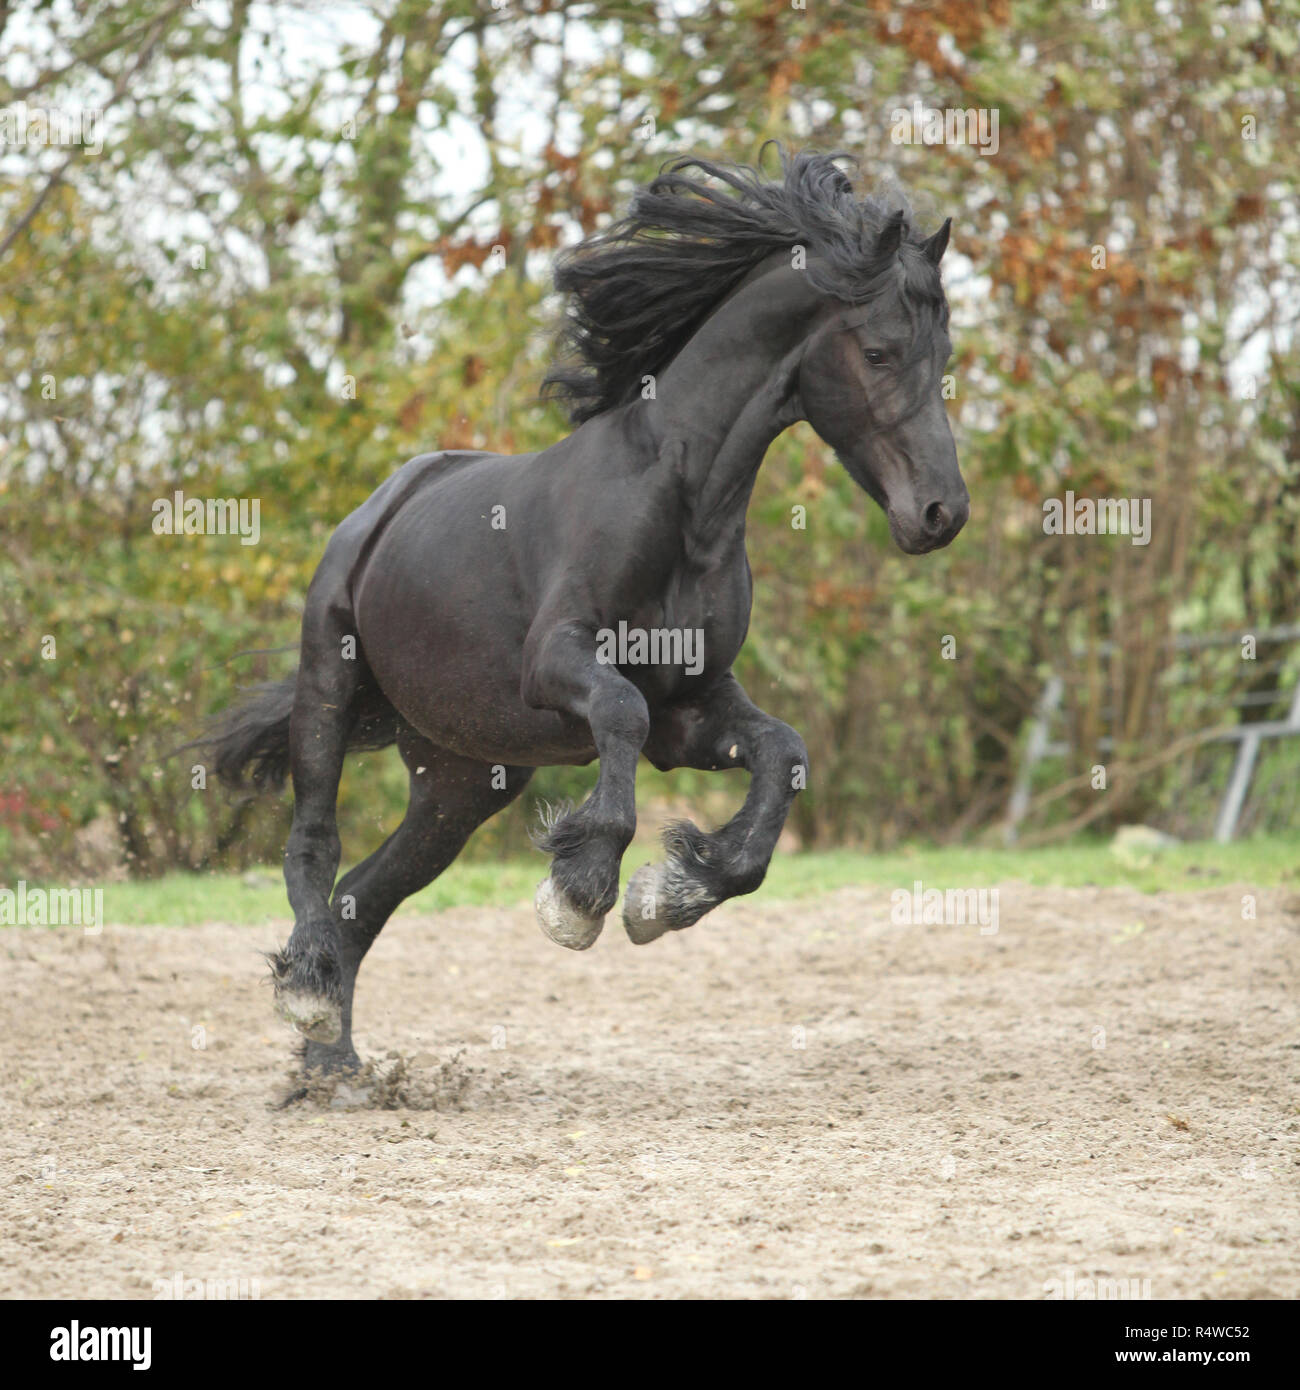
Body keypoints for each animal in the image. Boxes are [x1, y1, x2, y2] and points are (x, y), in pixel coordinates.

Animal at [205, 147, 968, 1081]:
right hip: (330, 689)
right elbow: (619, 713)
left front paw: (673, 892)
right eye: (879, 350)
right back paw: (310, 997)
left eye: (944, 352)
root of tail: (380, 508)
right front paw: (581, 893)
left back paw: (332, 1065)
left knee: (365, 897)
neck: (680, 501)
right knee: (315, 846)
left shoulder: (693, 703)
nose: (941, 513)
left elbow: (782, 752)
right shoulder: (559, 662)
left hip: (461, 781)